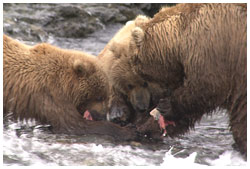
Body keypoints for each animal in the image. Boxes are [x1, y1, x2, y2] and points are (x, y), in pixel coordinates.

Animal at [2, 33, 138, 141]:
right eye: (99, 97)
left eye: (105, 96)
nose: (103, 115)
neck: (66, 86)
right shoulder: (51, 95)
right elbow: (73, 125)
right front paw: (128, 130)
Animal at [130, 3, 247, 156]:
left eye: (141, 72)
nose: (149, 103)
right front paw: (147, 127)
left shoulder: (212, 54)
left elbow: (203, 89)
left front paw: (164, 109)